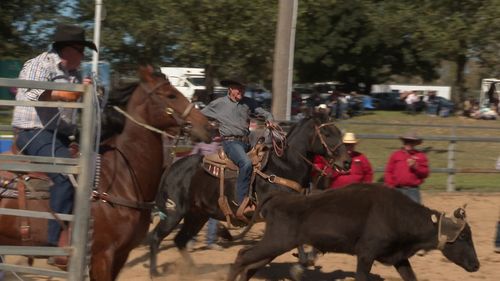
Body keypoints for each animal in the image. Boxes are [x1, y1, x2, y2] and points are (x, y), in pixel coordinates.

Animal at [148, 115, 352, 274]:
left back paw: (194, 270)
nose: (347, 162)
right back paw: (155, 272)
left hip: (197, 215)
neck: (284, 167)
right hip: (174, 213)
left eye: (338, 132)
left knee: (180, 240)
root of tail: (172, 166)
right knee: (156, 237)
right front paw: (300, 265)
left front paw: (308, 259)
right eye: (327, 134)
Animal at [228, 183, 480, 280]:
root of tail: (280, 197)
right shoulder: (366, 255)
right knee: (241, 257)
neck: (397, 215)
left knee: (248, 264)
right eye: (464, 236)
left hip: (274, 246)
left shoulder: (399, 258)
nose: (476, 265)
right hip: (276, 242)